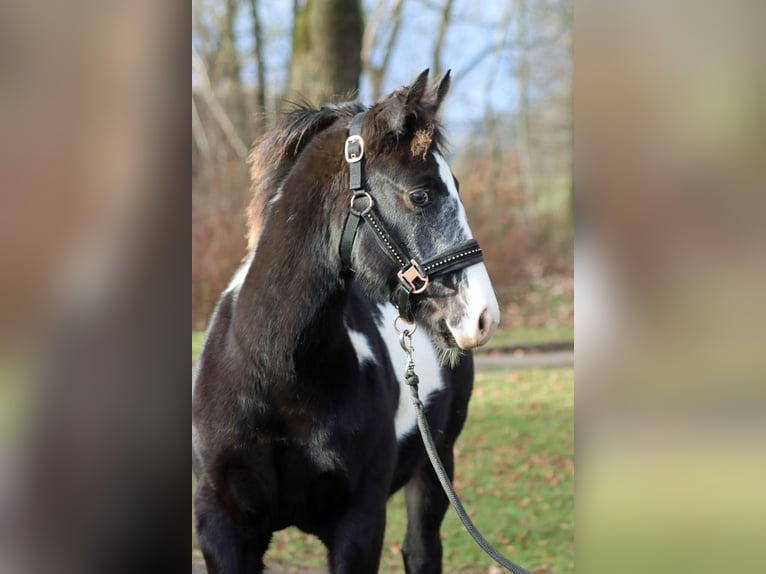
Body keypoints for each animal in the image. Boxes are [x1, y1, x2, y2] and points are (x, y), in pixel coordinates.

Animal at [192, 69, 501, 574]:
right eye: (420, 195)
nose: (483, 315)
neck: (276, 376)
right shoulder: (222, 530)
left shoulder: (359, 524)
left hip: (437, 465)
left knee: (421, 551)